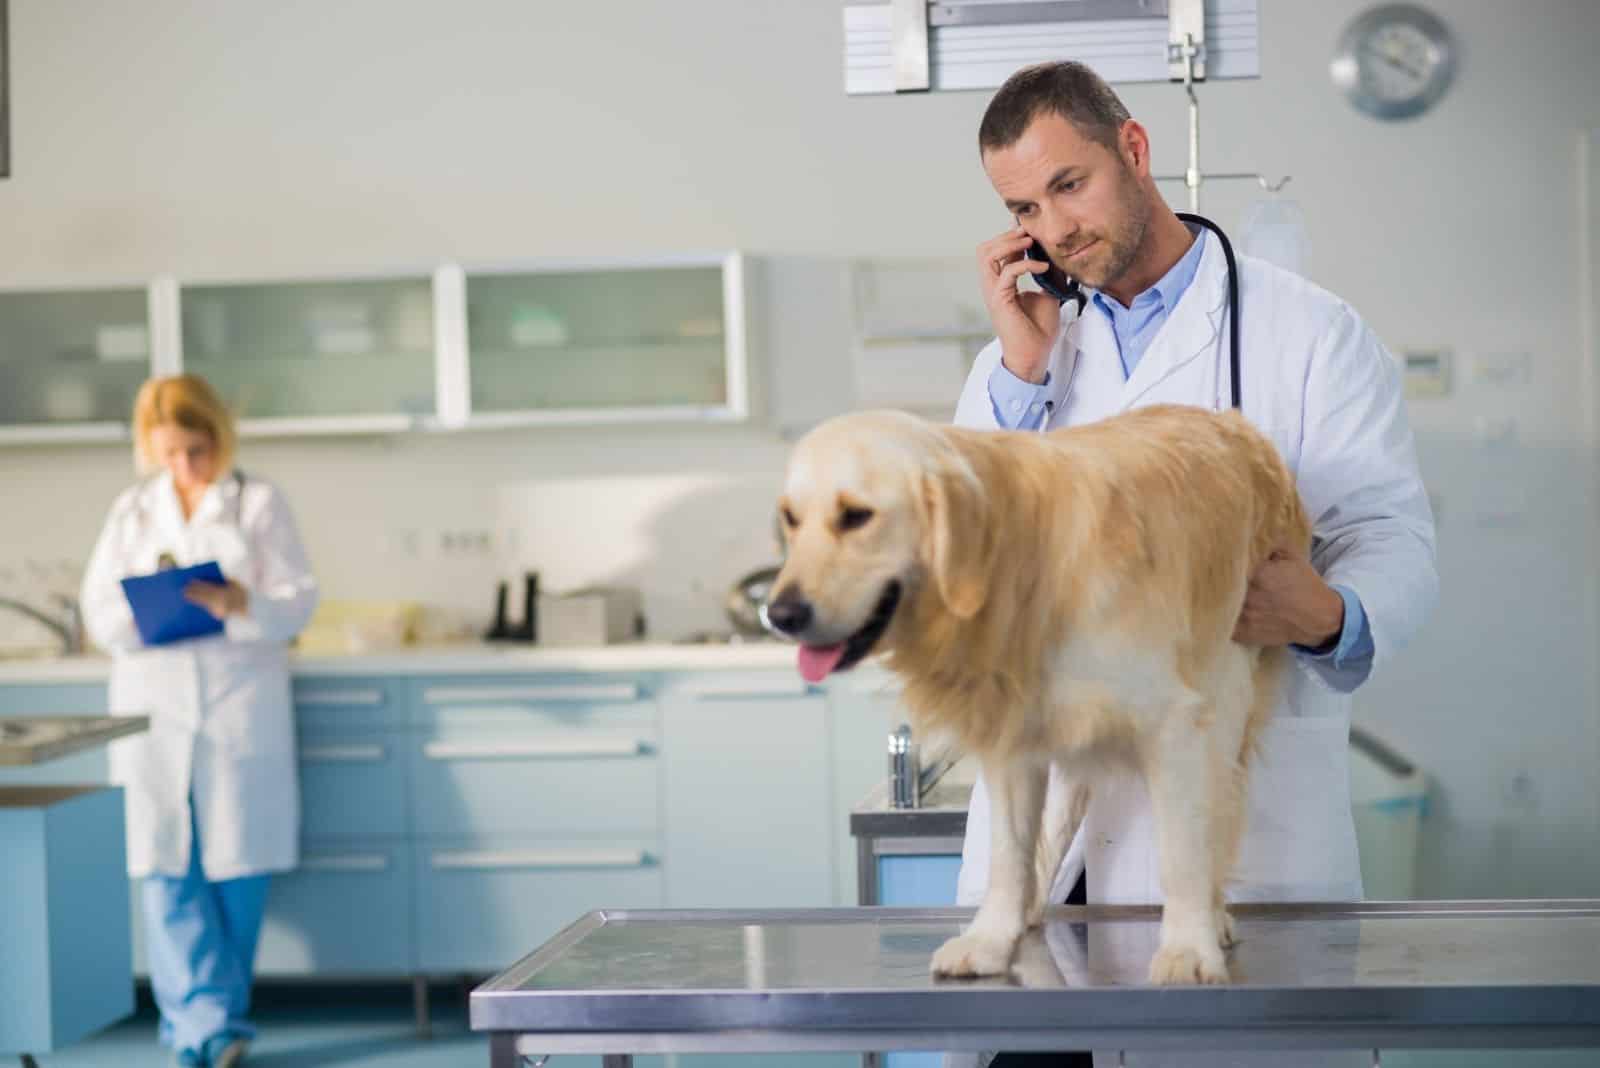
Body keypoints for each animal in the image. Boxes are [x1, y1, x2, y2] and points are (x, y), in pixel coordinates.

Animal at [764, 404, 1312, 991]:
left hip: (1231, 691)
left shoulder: (1177, 725)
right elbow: (1008, 852)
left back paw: (1213, 916)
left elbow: (1182, 853)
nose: (779, 614)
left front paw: (1188, 947)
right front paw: (990, 938)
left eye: (856, 516)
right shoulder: (1012, 736)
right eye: (790, 518)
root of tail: (1234, 423)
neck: (1024, 572)